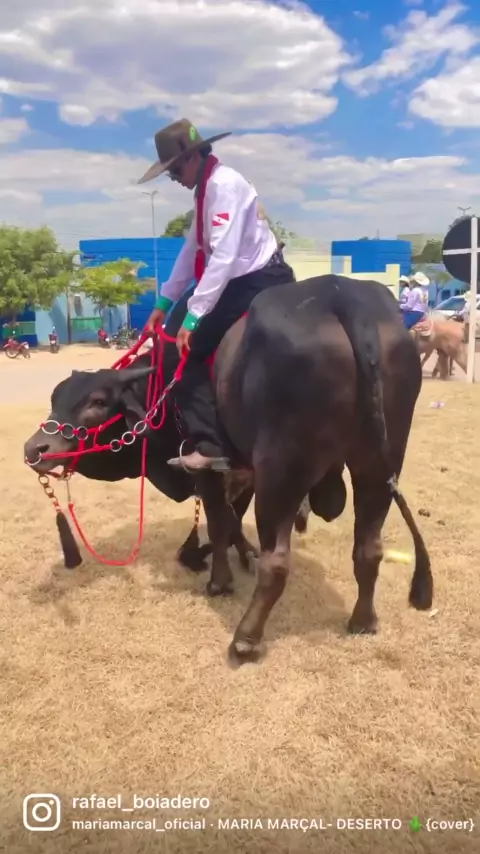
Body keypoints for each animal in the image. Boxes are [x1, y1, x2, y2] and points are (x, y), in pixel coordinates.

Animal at [24, 274, 433, 662]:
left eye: (96, 401)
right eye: (55, 397)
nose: (35, 448)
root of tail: (341, 296)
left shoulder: (209, 469)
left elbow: (221, 523)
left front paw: (219, 579)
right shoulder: (243, 470)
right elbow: (233, 519)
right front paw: (235, 553)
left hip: (282, 474)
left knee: (278, 562)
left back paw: (246, 638)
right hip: (378, 466)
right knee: (369, 549)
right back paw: (363, 620)